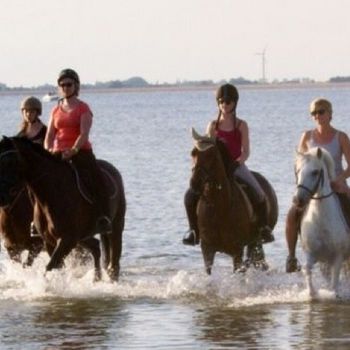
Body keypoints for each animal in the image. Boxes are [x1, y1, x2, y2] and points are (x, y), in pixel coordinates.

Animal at [0, 137, 125, 282]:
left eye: (10, 162)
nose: (1, 196)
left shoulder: (63, 240)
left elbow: (50, 265)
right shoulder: (30, 244)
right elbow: (54, 265)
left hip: (115, 225)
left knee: (113, 258)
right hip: (82, 236)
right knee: (95, 247)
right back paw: (96, 278)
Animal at [190, 129, 278, 274]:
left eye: (211, 155)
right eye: (193, 153)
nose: (195, 183)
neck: (218, 206)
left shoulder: (237, 250)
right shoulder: (207, 249)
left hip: (257, 239)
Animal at [294, 146, 350, 296]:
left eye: (315, 172)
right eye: (298, 171)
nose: (297, 200)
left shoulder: (337, 256)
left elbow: (334, 283)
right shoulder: (312, 254)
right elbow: (306, 269)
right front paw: (312, 293)